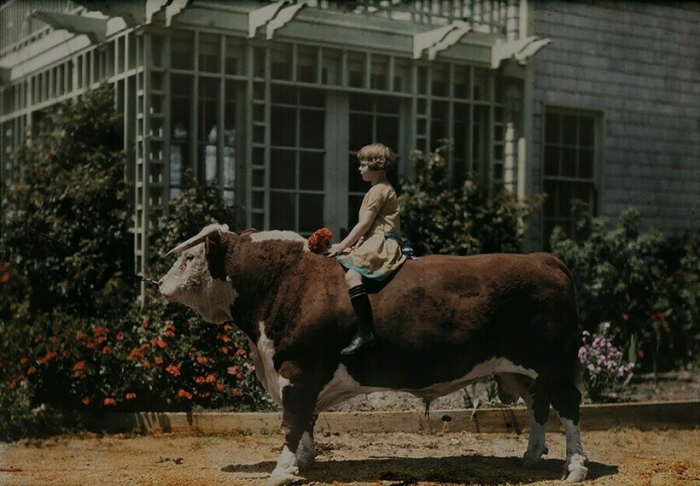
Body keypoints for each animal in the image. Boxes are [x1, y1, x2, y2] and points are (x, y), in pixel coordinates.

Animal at [161, 226, 588, 484]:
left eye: (188, 259)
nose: (161, 282)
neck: (283, 282)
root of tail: (544, 259)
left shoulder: (296, 371)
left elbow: (292, 422)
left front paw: (282, 470)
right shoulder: (299, 378)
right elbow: (305, 421)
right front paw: (303, 461)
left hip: (555, 364)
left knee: (569, 408)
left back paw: (576, 467)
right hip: (524, 371)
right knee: (538, 406)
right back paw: (531, 456)